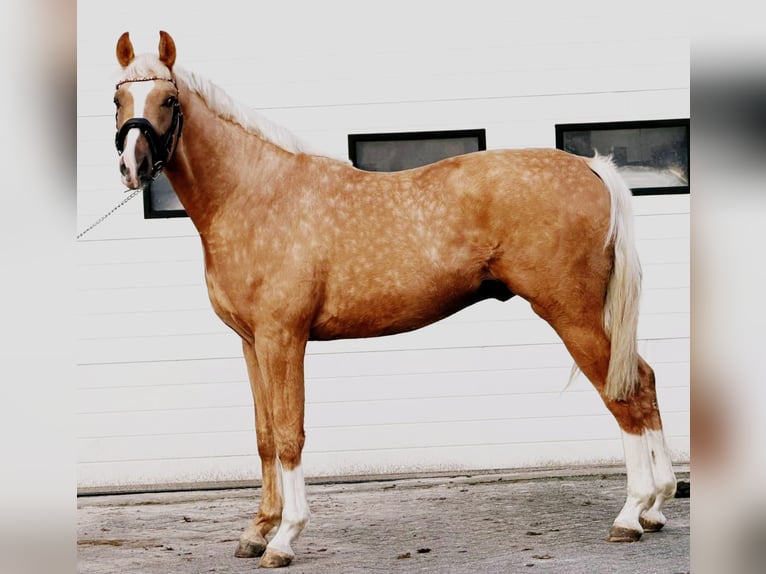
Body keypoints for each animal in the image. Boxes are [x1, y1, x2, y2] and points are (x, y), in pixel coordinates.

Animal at [112, 30, 677, 568]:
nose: (132, 165)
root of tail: (590, 167)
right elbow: (265, 435)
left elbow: (291, 434)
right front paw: (256, 532)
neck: (255, 195)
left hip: (573, 315)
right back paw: (657, 506)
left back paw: (631, 514)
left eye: (168, 99)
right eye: (118, 97)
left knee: (623, 396)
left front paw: (285, 539)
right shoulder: (252, 343)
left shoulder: (283, 338)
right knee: (644, 381)